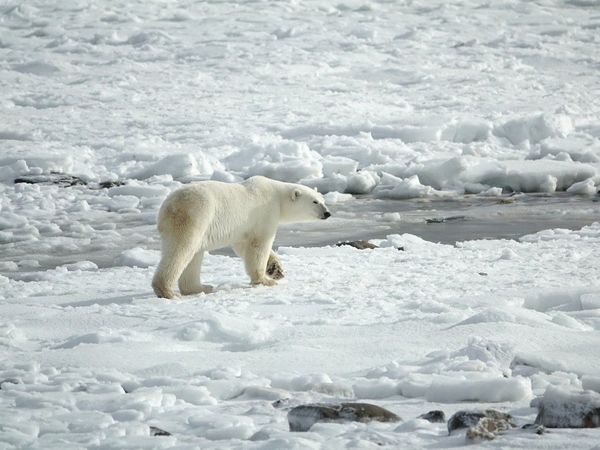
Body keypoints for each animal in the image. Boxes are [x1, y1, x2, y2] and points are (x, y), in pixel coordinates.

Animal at [150, 176, 328, 298]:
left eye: (323, 200)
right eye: (315, 202)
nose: (327, 213)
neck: (277, 196)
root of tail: (168, 207)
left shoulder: (243, 228)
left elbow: (243, 246)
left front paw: (276, 269)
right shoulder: (265, 213)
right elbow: (259, 245)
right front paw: (266, 280)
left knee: (194, 255)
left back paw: (201, 287)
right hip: (195, 216)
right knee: (181, 250)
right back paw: (168, 292)